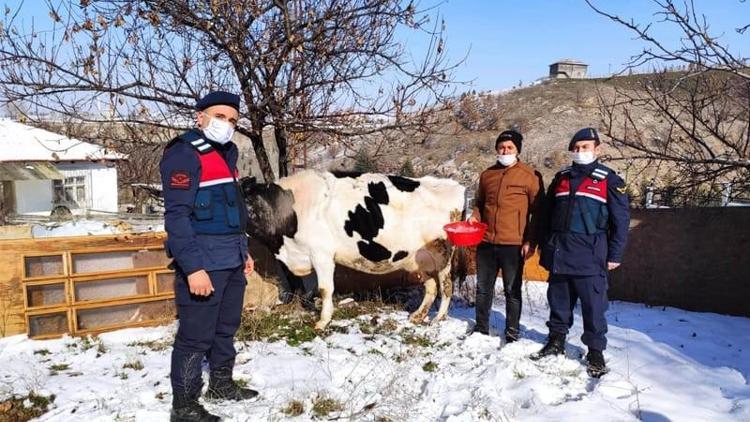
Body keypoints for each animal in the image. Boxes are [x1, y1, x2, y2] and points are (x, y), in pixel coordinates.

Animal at [241, 169, 464, 330]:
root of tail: (455, 186)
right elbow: (309, 289)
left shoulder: (321, 254)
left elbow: (324, 288)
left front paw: (322, 321)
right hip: (419, 259)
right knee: (431, 286)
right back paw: (418, 316)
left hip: (442, 254)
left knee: (446, 286)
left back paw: (438, 318)